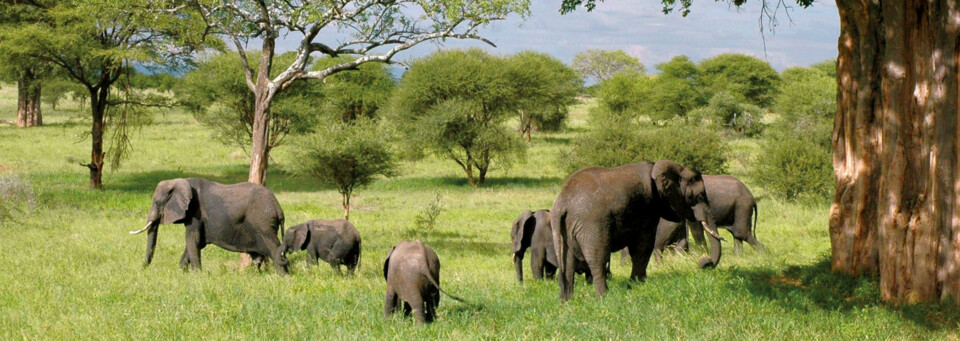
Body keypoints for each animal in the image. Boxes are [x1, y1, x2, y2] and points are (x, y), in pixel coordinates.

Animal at [130, 178, 288, 274]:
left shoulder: (195, 213)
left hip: (263, 223)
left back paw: (283, 276)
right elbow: (197, 242)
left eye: (157, 202)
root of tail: (277, 207)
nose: (142, 269)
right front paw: (183, 272)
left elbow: (192, 240)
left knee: (274, 247)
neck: (181, 181)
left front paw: (196, 274)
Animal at [548, 159, 720, 300]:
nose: (704, 262)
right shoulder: (648, 206)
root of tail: (562, 203)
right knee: (597, 259)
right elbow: (644, 245)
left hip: (565, 228)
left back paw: (567, 301)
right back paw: (604, 298)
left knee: (568, 262)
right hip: (592, 224)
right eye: (698, 197)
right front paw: (637, 286)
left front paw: (636, 285)